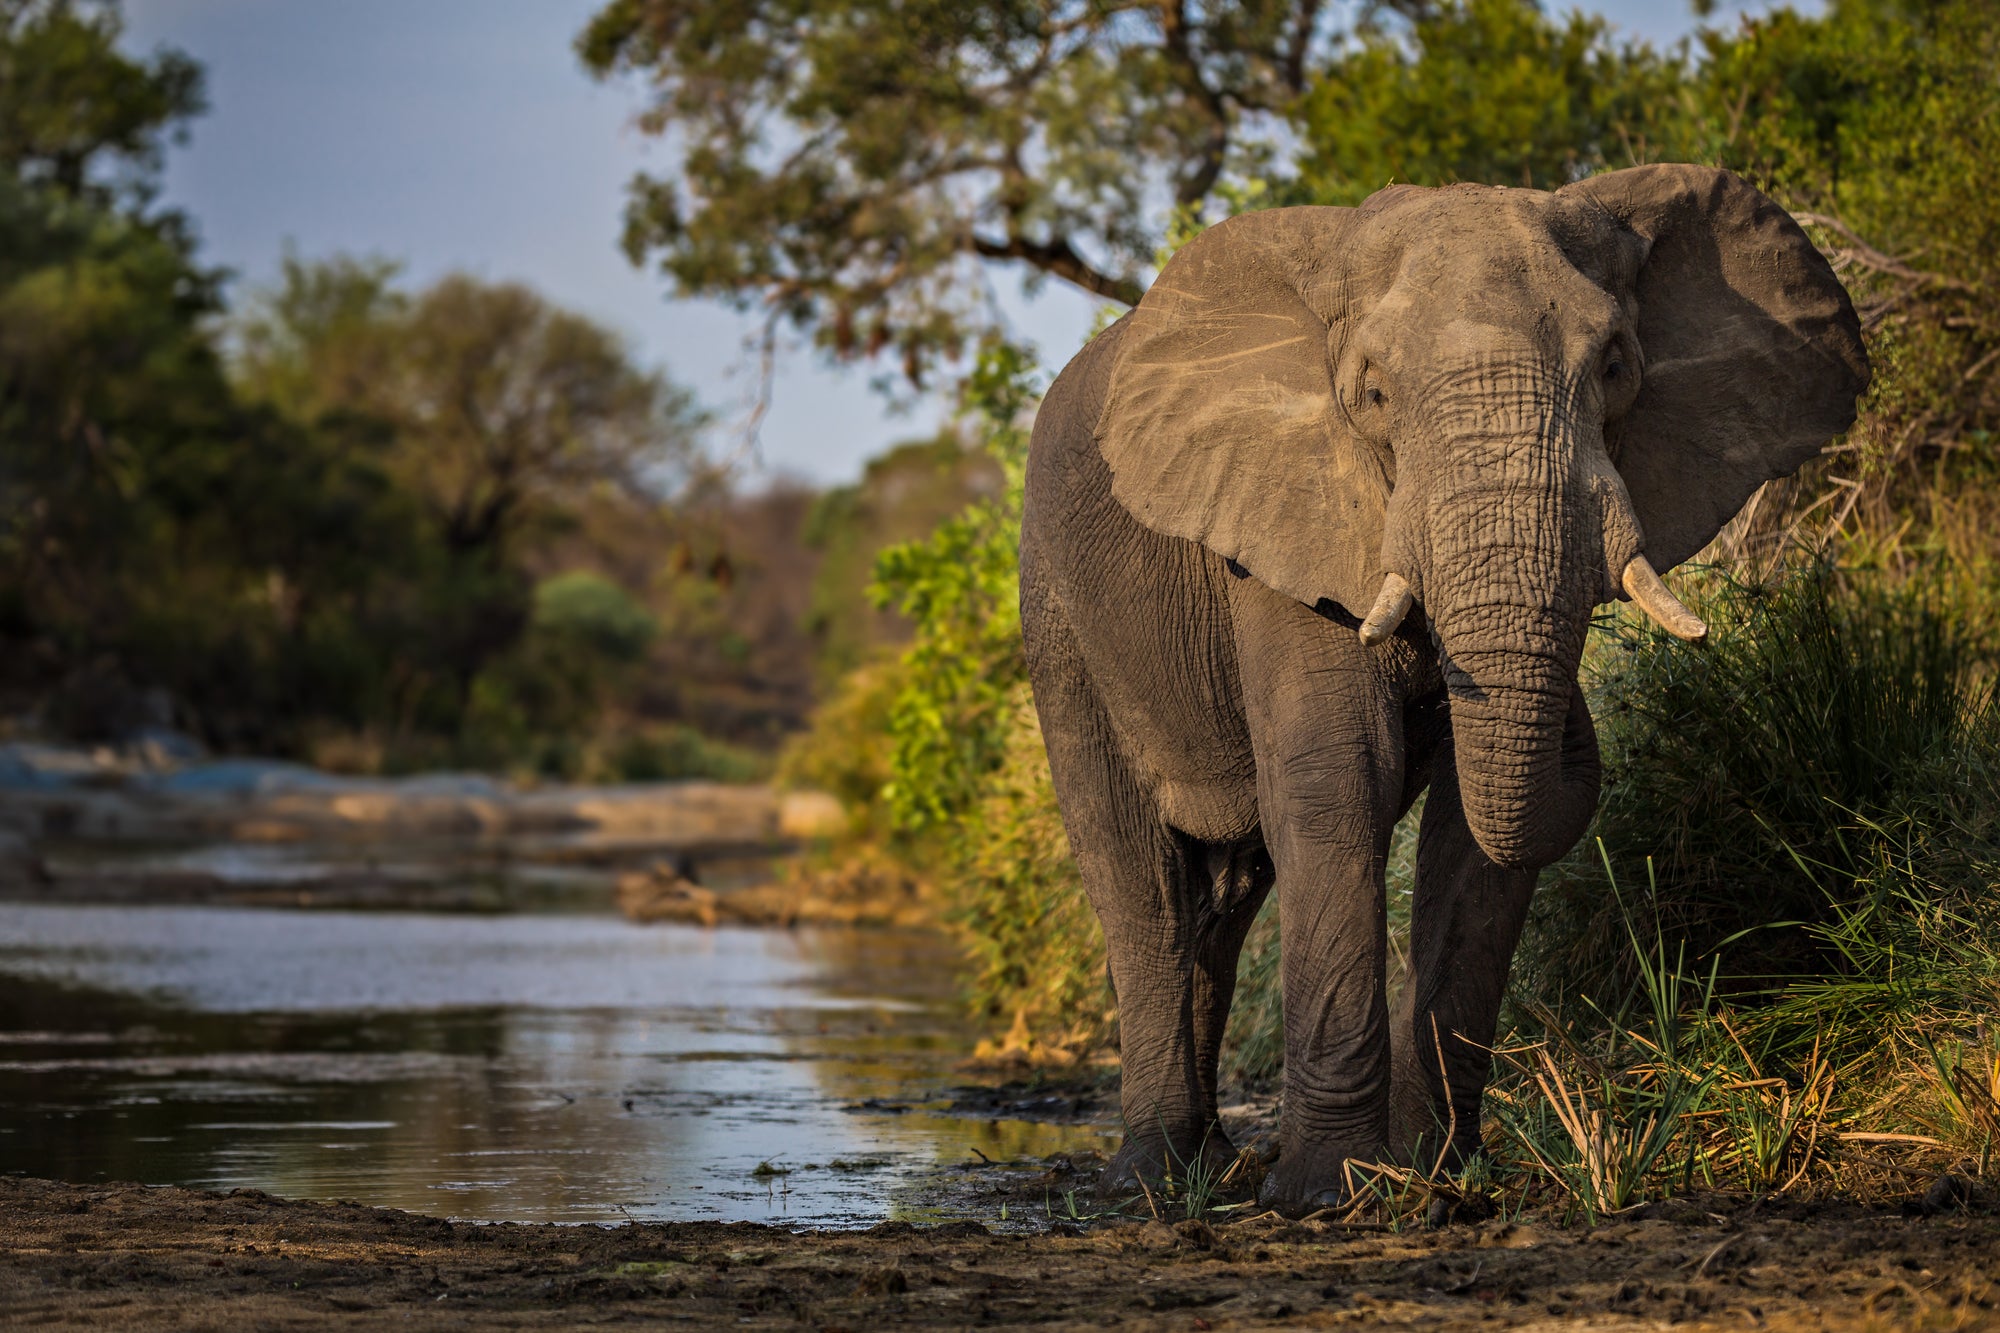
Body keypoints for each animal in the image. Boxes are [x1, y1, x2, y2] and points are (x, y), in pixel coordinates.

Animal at [1019, 164, 1869, 1214]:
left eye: (1617, 367)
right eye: (1374, 394)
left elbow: (1477, 818)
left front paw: (1439, 1179)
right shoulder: (1283, 525)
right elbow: (1340, 780)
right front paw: (1323, 1195)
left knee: (1227, 901)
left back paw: (1211, 1168)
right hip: (1060, 618)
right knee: (1145, 888)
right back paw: (1153, 1178)